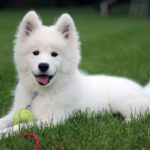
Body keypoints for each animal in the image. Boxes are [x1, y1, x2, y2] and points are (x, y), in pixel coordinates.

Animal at [0, 10, 150, 135]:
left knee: (141, 114)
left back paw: (125, 123)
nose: (43, 66)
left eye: (54, 54)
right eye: (35, 52)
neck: (41, 93)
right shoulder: (15, 112)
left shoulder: (52, 120)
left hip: (123, 102)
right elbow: (4, 120)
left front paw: (5, 134)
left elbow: (22, 126)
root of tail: (143, 90)